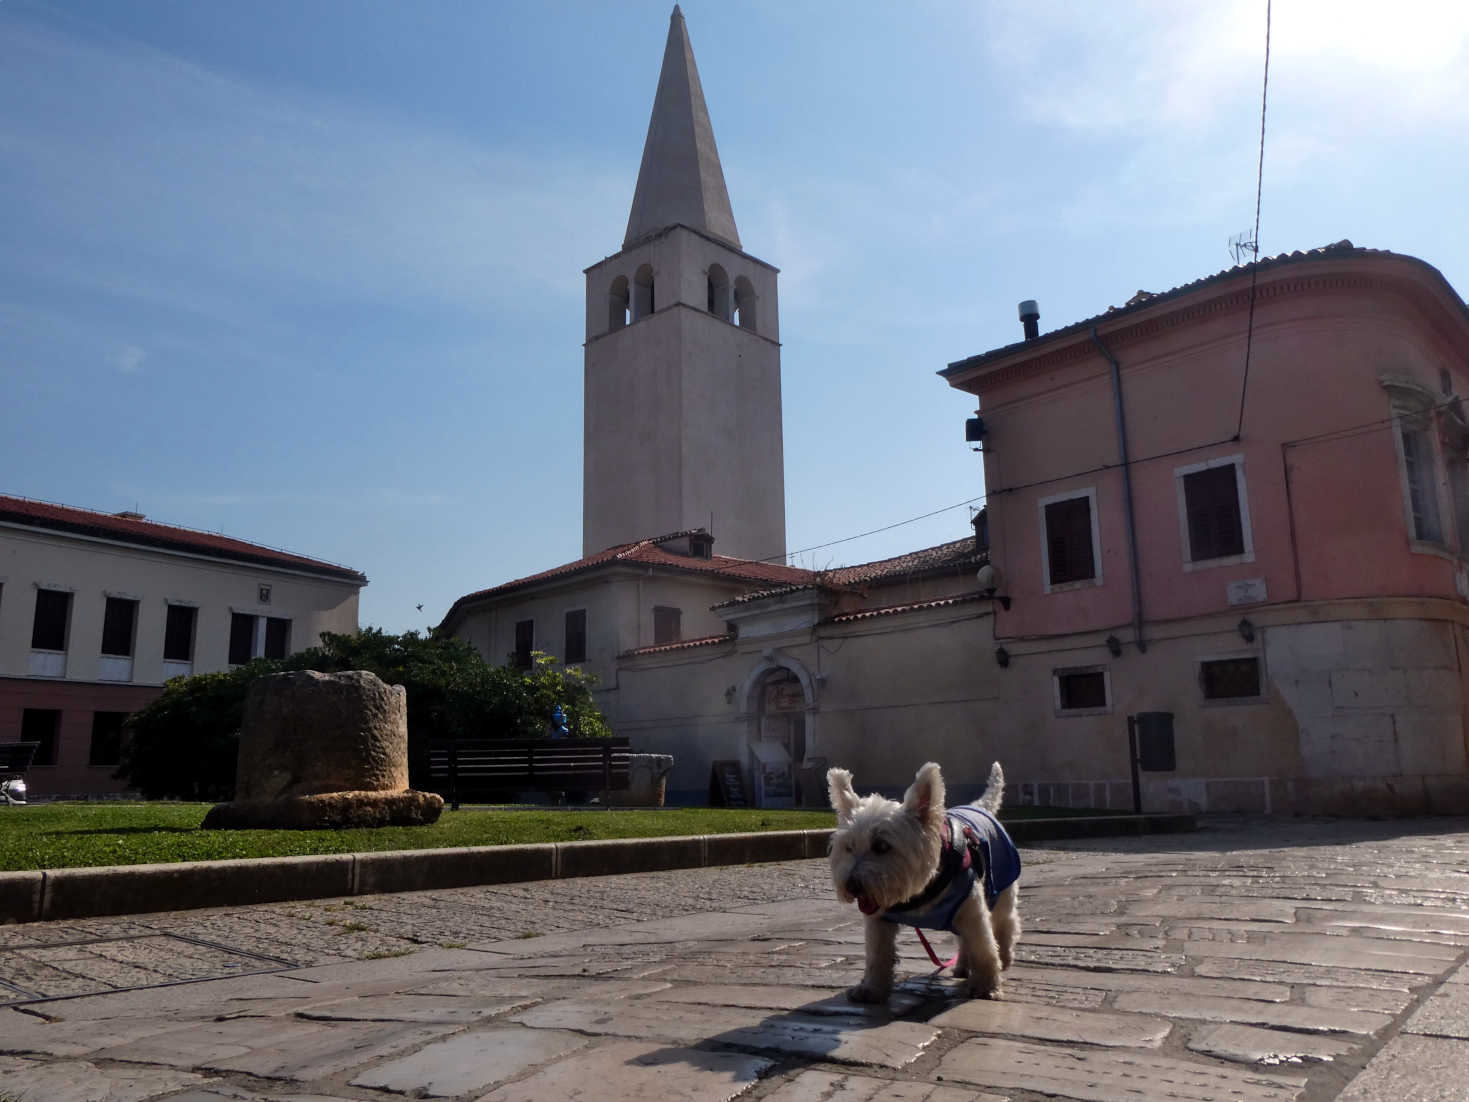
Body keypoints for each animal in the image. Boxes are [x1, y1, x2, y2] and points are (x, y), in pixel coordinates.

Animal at [828, 764, 1022, 1005]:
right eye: (849, 847)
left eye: (881, 846)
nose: (851, 885)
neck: (920, 894)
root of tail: (979, 806)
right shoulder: (879, 920)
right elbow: (877, 954)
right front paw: (871, 988)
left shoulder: (972, 911)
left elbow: (984, 947)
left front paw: (987, 986)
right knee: (966, 939)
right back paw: (963, 966)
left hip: (1001, 889)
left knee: (1006, 923)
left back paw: (1003, 957)